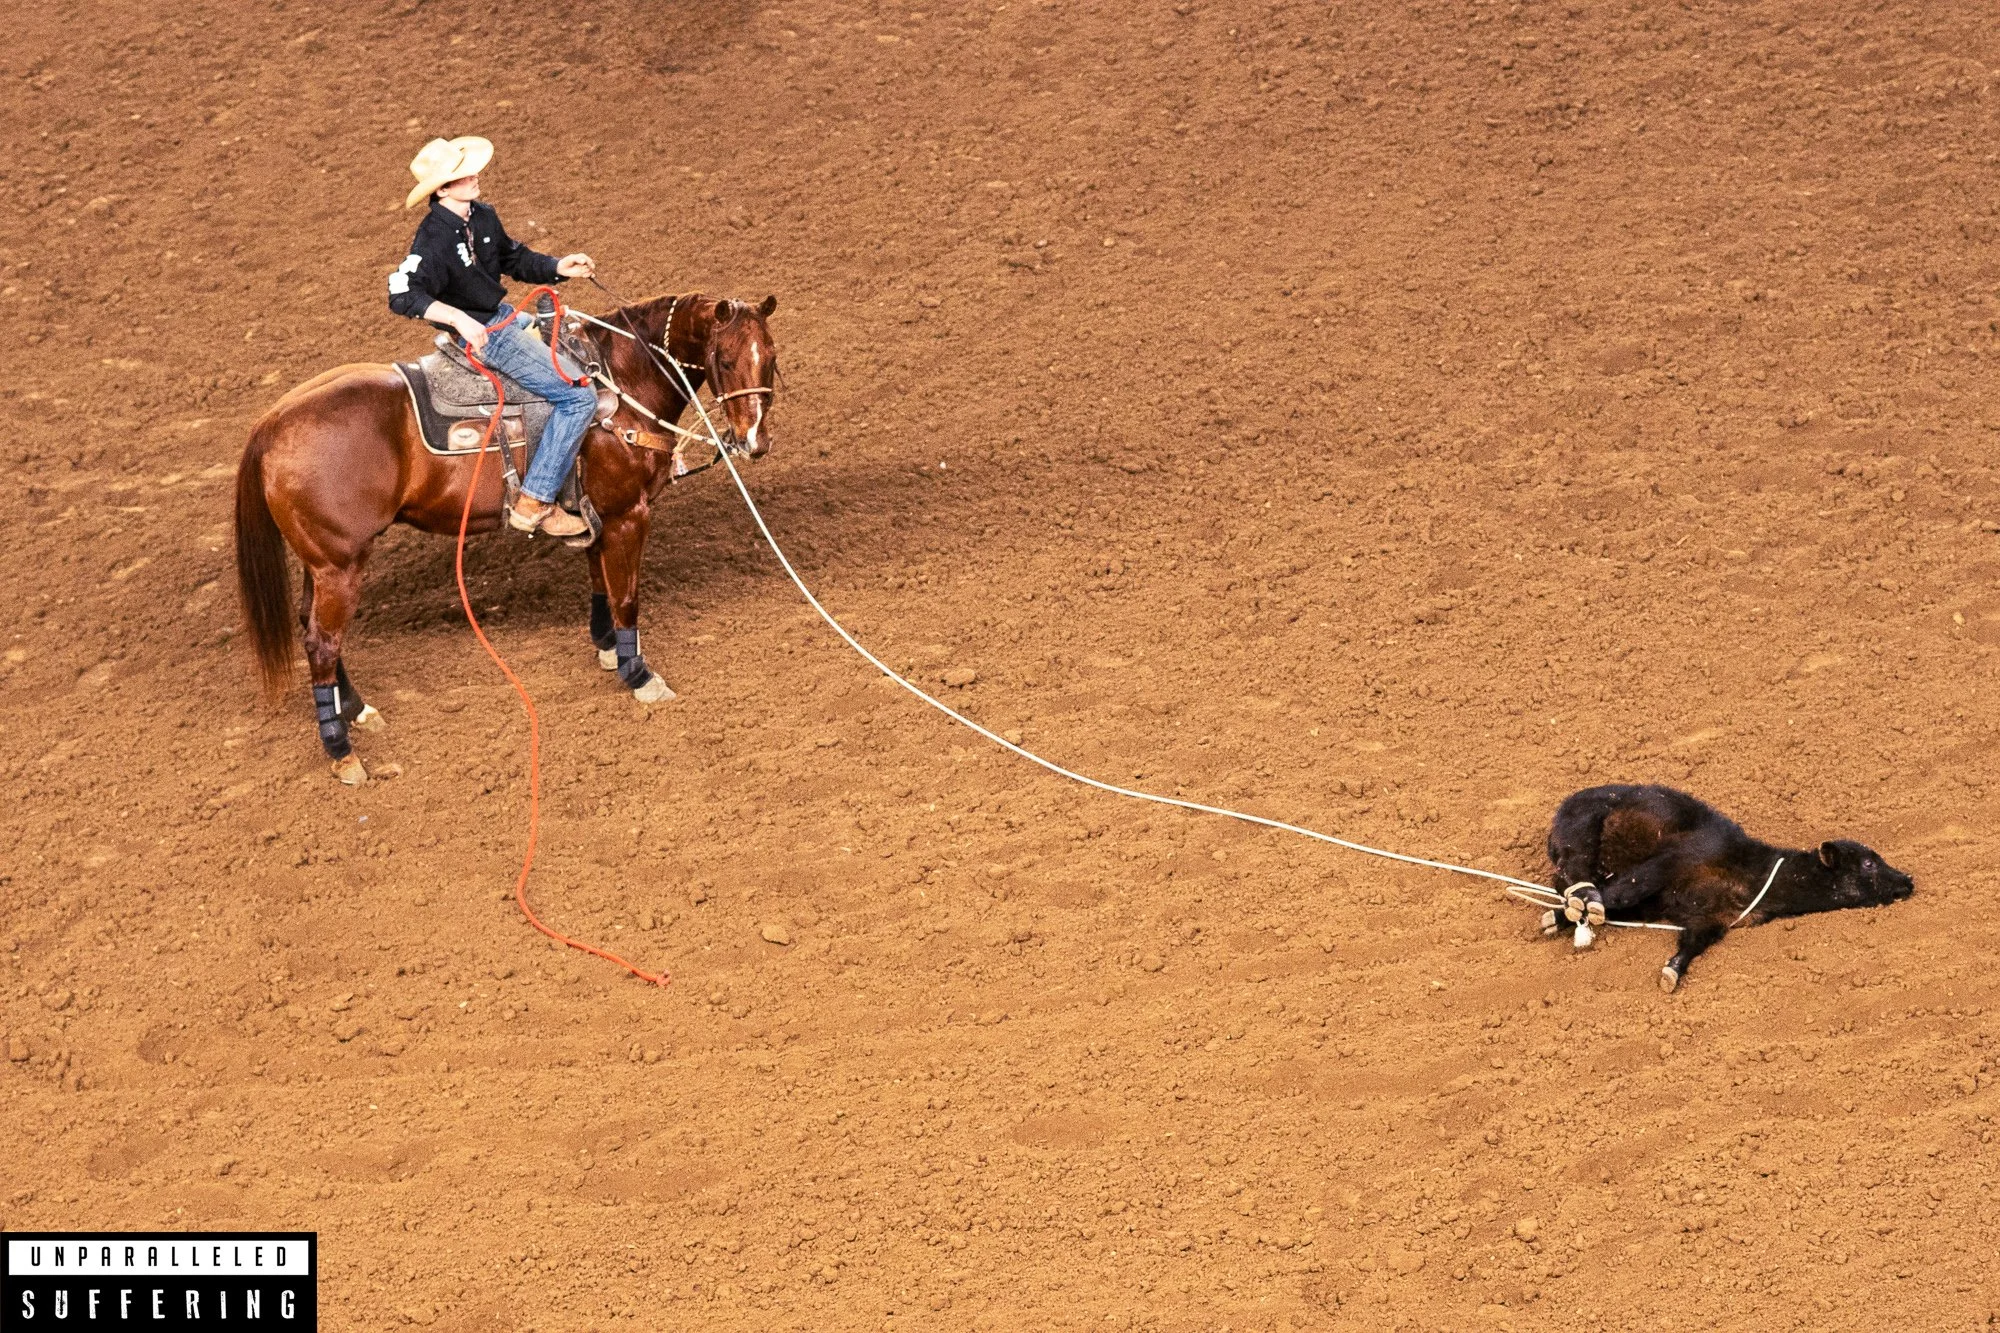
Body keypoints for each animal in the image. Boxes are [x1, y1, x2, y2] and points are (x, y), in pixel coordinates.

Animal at [233, 292, 779, 783]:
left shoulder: (596, 513)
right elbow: (626, 596)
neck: (622, 384)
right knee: (322, 643)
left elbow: (599, 580)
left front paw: (606, 647)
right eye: (725, 359)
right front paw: (638, 673)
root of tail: (272, 422)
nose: (754, 442)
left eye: (771, 358)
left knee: (310, 626)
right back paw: (342, 751)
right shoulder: (628, 514)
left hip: (324, 560)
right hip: (340, 566)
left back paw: (357, 710)